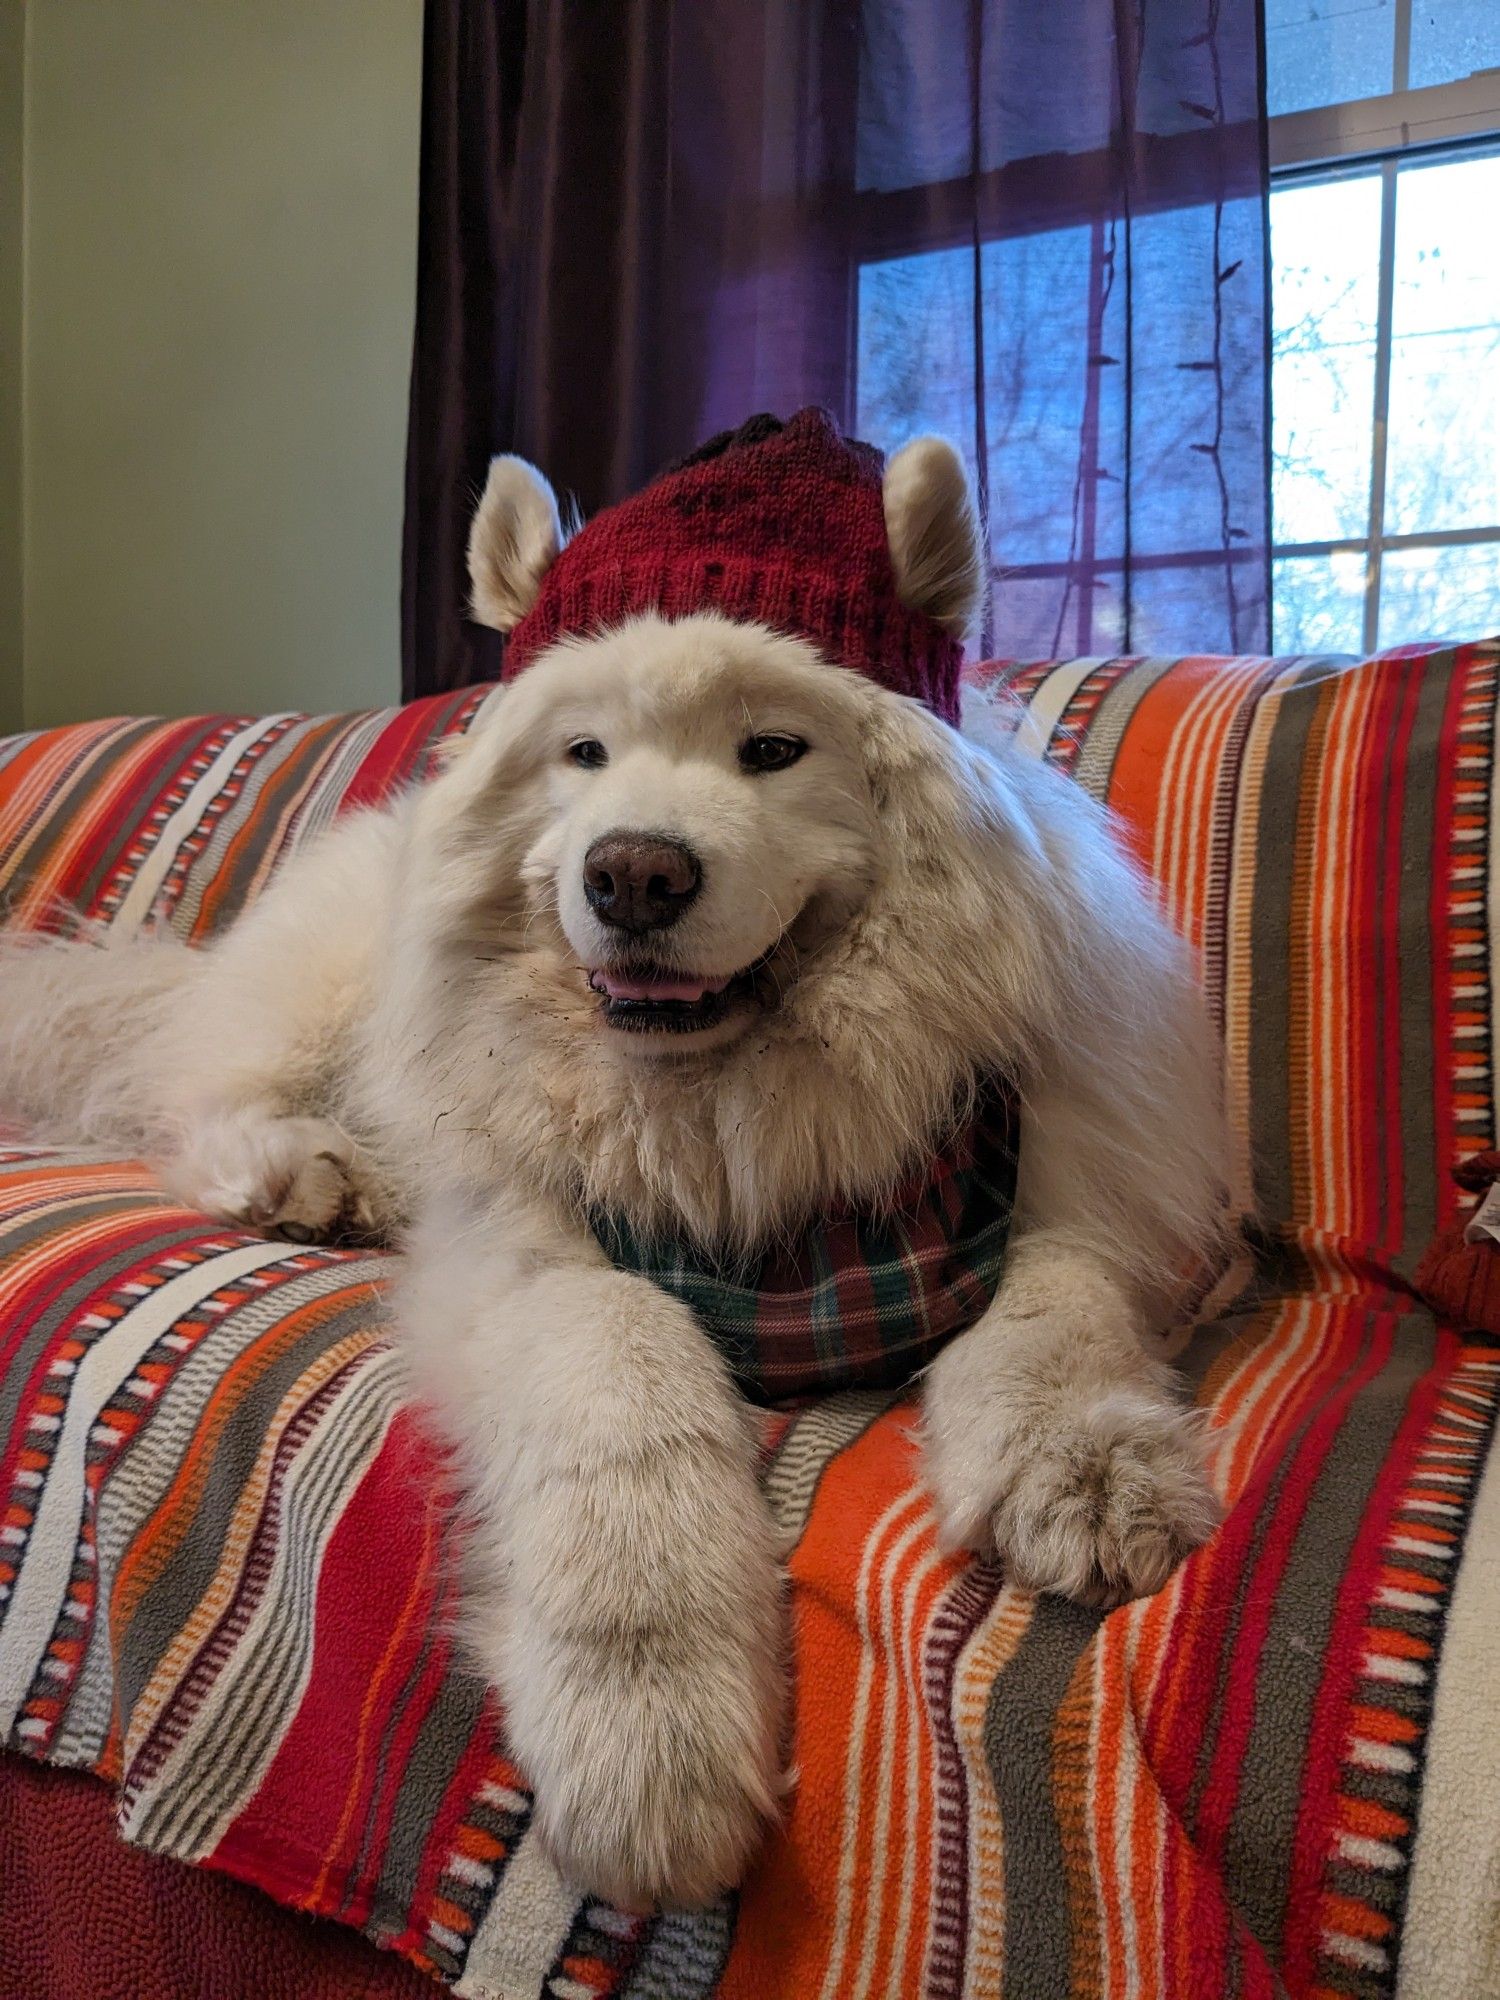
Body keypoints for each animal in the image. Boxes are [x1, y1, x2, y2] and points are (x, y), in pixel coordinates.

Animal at [0, 418, 1224, 1904]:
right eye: (582, 753)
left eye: (773, 749)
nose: (634, 871)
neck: (730, 1126)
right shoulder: (529, 1247)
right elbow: (624, 1371)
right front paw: (648, 1730)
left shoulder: (1080, 1185)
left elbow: (1056, 1307)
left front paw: (1088, 1470)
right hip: (317, 997)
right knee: (205, 1094)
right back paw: (306, 1171)